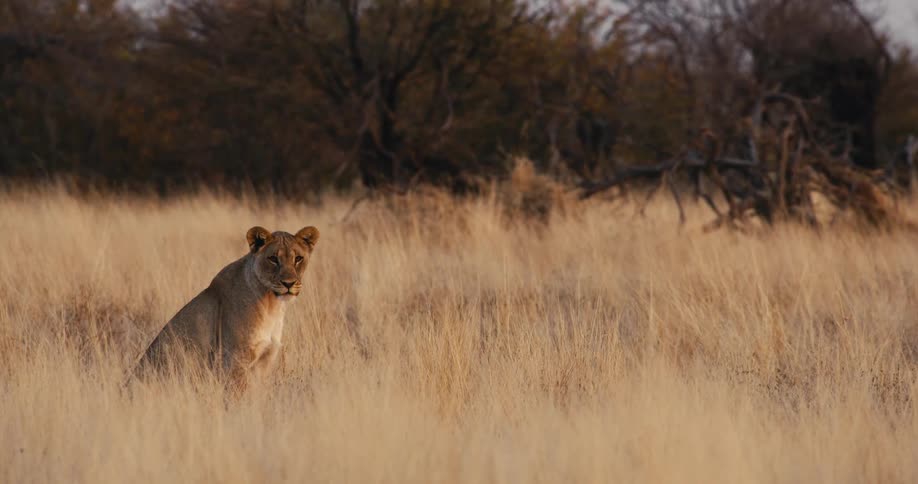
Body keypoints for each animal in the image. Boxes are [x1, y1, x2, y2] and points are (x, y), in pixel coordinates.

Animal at [130, 225, 319, 394]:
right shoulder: (234, 359)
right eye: (273, 258)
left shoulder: (264, 360)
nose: (289, 283)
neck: (272, 304)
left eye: (298, 258)